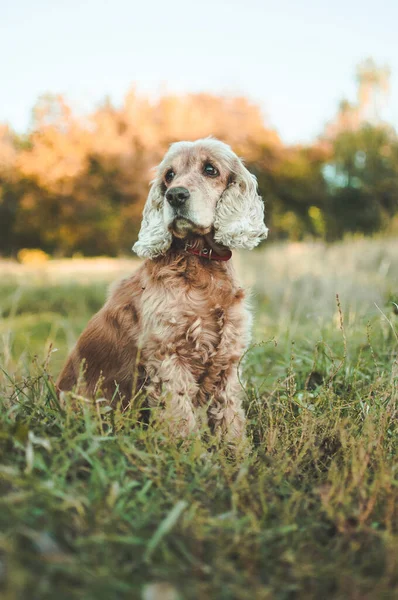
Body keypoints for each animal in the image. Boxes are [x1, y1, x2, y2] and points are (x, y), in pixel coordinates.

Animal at [56, 138, 268, 442]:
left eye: (210, 169)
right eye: (169, 175)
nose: (175, 195)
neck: (200, 263)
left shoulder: (228, 360)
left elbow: (230, 419)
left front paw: (235, 452)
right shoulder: (168, 356)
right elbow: (181, 418)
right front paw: (190, 452)